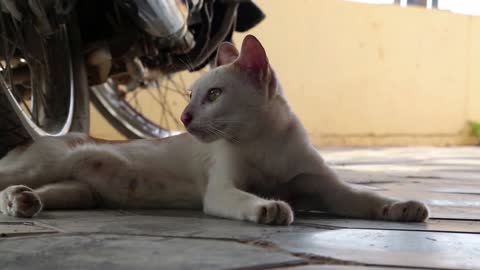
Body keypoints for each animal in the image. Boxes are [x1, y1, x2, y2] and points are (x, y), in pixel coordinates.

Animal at [0, 34, 430, 224]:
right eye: (190, 95)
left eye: (214, 95)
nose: (184, 117)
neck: (266, 142)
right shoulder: (221, 188)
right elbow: (243, 197)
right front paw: (268, 206)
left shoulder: (328, 189)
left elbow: (365, 198)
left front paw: (403, 206)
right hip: (43, 165)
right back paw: (16, 199)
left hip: (81, 191)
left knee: (39, 192)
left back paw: (22, 201)